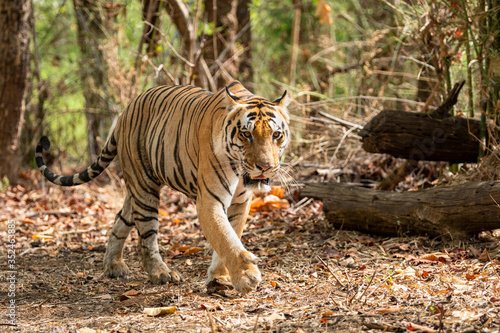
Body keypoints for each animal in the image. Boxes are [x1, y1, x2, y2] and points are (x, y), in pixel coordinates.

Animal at [36, 81, 290, 294]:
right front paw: (246, 276)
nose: (265, 167)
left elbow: (231, 235)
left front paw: (220, 277)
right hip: (144, 188)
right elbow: (225, 238)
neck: (239, 171)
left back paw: (113, 266)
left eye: (276, 134)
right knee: (146, 238)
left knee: (121, 219)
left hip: (135, 192)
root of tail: (125, 112)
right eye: (246, 134)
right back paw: (161, 273)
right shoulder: (209, 201)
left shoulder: (240, 202)